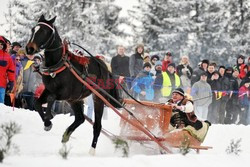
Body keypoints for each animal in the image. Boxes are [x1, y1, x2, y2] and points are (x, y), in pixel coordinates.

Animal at [25, 14, 121, 155]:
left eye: (45, 31)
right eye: (33, 29)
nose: (29, 49)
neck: (58, 65)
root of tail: (104, 65)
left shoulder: (64, 93)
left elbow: (51, 99)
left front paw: (49, 118)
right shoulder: (48, 89)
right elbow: (37, 103)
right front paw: (47, 123)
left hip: (98, 98)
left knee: (97, 125)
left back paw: (91, 151)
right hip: (75, 99)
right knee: (80, 118)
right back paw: (66, 135)